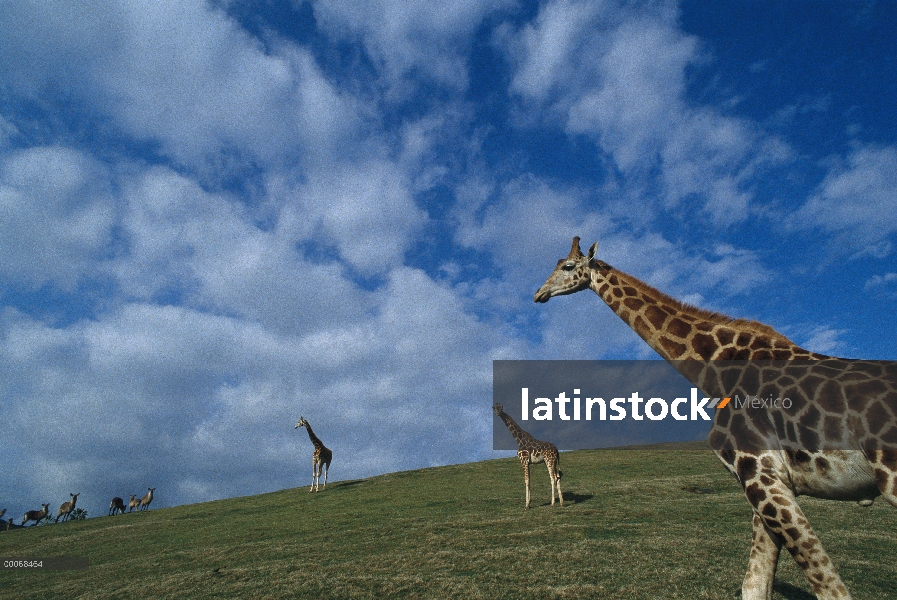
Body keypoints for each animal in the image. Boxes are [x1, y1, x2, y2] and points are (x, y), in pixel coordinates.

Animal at [536, 238, 892, 600]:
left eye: (567, 266)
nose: (539, 293)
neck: (715, 370)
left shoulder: (755, 470)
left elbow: (827, 586)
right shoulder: (766, 477)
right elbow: (755, 584)